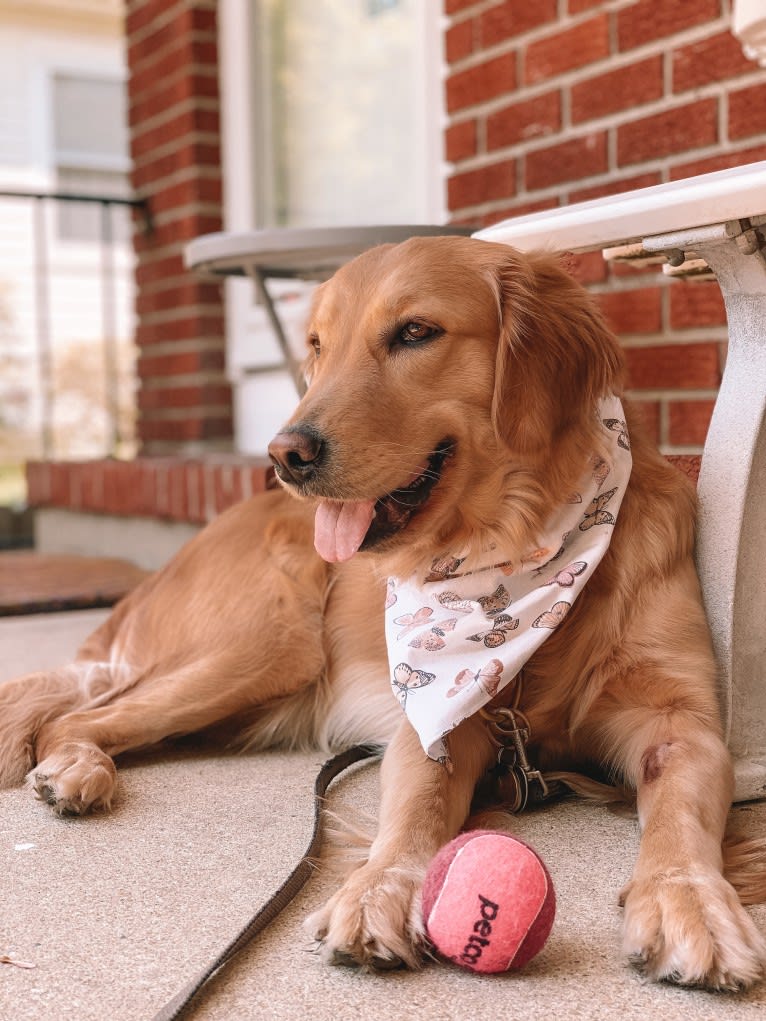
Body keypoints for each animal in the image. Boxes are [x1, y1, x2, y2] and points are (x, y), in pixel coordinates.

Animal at [1, 234, 766, 984]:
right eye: (317, 345)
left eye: (416, 332)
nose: (286, 453)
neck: (513, 550)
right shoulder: (437, 715)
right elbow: (416, 807)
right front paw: (379, 889)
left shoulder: (681, 722)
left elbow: (680, 814)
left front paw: (688, 902)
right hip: (273, 643)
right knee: (77, 715)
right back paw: (75, 771)